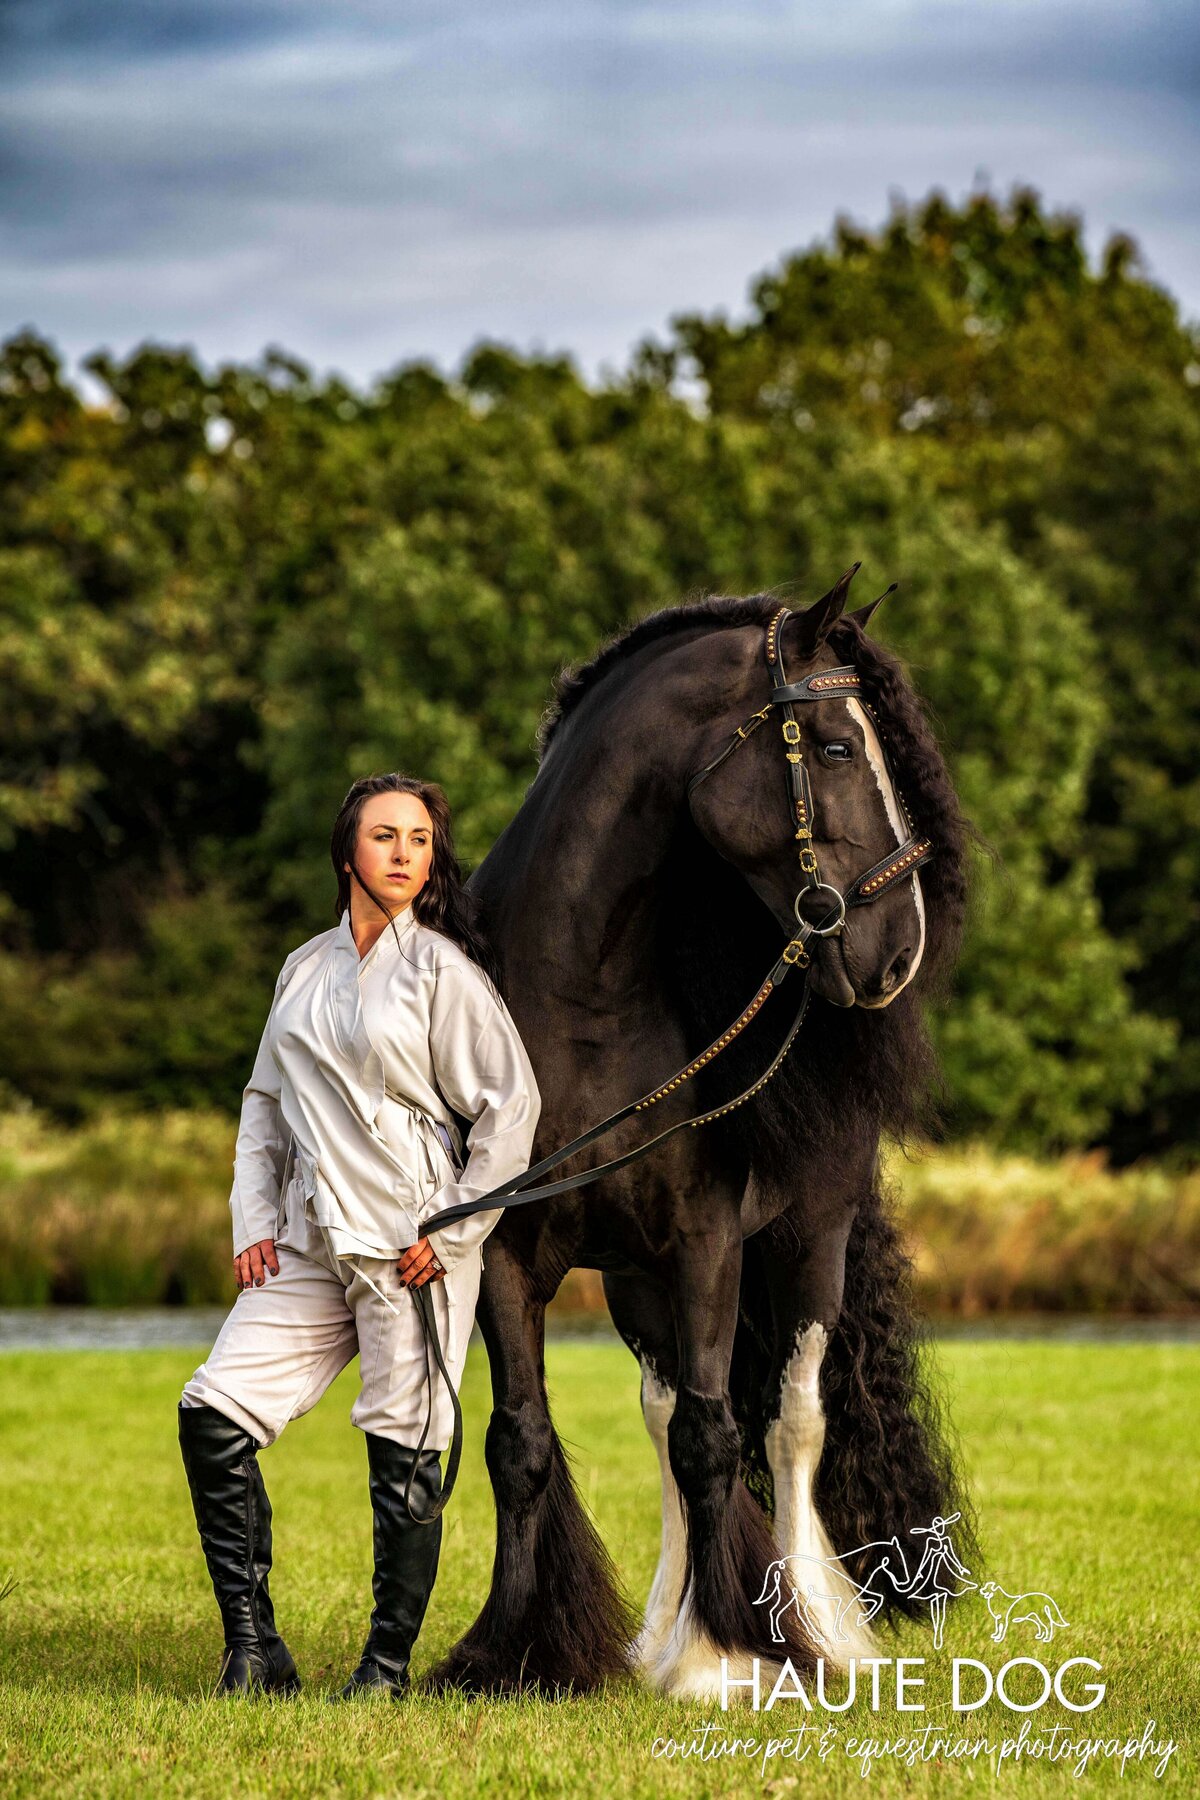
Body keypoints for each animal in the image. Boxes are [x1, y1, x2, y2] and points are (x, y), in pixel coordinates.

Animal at [431, 568, 978, 1692]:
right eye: (837, 747)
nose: (899, 948)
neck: (580, 1008)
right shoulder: (507, 1252)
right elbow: (523, 1445)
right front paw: (516, 1651)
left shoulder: (708, 1242)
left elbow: (718, 1439)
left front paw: (739, 1652)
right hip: (634, 1280)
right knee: (665, 1415)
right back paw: (661, 1635)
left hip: (808, 1241)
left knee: (790, 1422)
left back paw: (817, 1628)